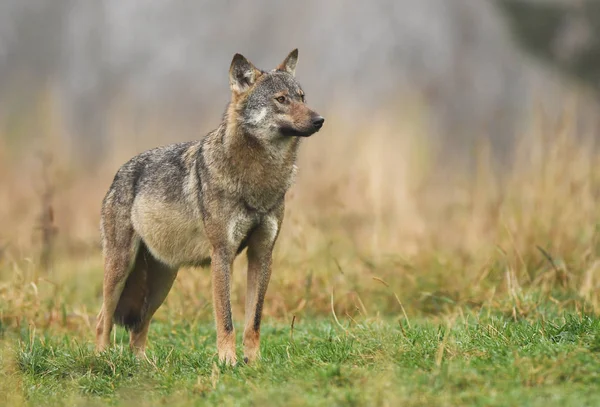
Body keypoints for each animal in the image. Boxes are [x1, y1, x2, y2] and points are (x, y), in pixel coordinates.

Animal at [95, 48, 326, 366]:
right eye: (281, 99)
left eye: (302, 97)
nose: (320, 120)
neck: (258, 178)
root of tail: (118, 174)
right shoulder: (222, 254)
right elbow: (226, 318)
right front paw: (228, 361)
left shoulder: (262, 253)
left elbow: (253, 320)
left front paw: (253, 362)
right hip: (120, 269)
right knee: (102, 320)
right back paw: (102, 359)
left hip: (162, 283)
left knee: (137, 329)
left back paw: (143, 365)